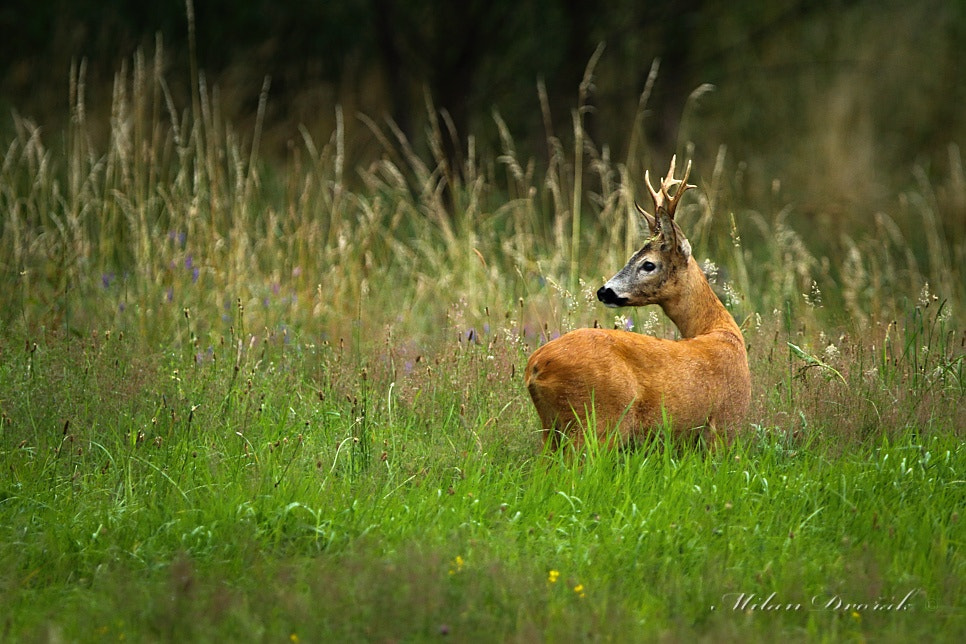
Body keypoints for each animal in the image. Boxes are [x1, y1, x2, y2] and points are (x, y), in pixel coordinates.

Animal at [524, 158, 752, 450]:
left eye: (647, 264)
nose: (604, 292)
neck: (721, 331)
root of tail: (536, 366)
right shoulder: (725, 425)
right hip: (597, 422)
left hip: (551, 428)